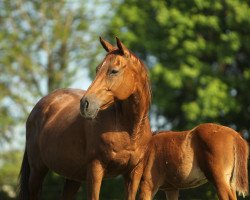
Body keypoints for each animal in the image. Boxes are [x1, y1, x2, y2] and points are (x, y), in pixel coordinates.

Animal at [18, 37, 151, 198]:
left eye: (114, 71)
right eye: (97, 69)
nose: (85, 104)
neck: (129, 130)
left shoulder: (134, 173)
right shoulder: (95, 169)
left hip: (72, 176)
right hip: (37, 171)